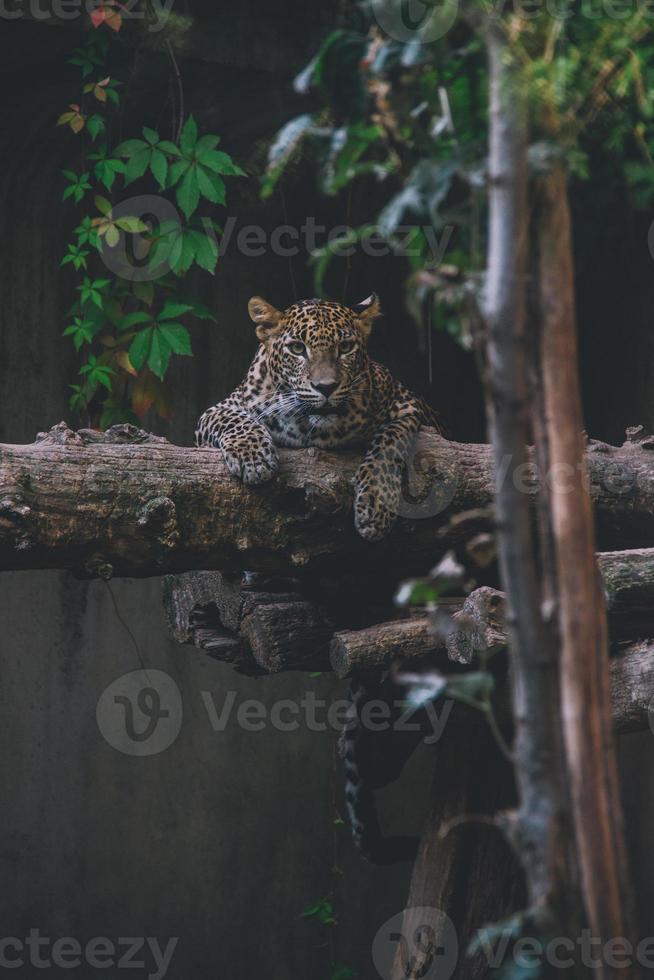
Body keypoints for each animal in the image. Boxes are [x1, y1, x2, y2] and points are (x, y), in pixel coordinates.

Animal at [195, 292, 440, 544]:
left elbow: (389, 444)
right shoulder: (222, 408)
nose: (326, 387)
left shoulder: (407, 404)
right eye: (297, 348)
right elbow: (234, 419)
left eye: (345, 347)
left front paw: (375, 505)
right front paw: (254, 459)